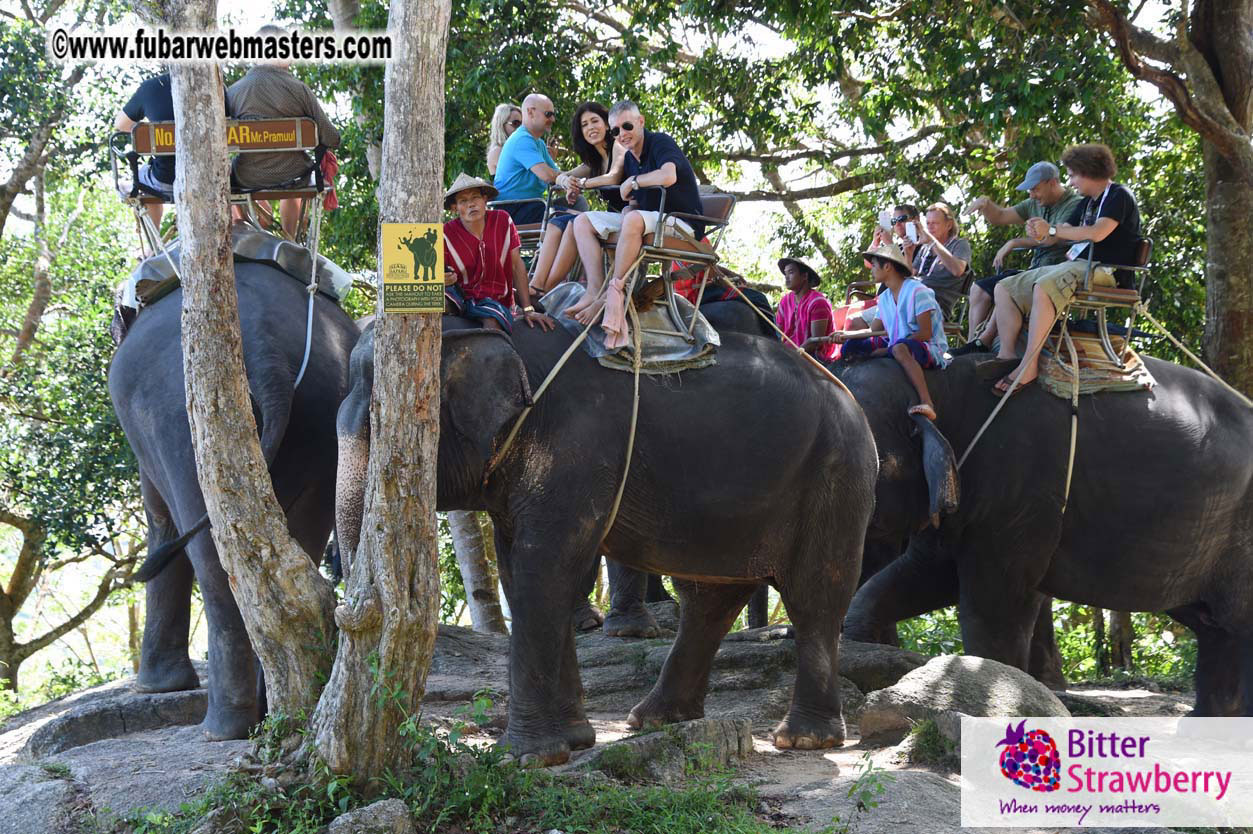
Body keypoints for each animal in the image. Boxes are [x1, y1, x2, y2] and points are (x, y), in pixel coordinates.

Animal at [109, 260, 358, 739]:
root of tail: (265, 349)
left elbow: (161, 524)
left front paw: (154, 689)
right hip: (324, 413)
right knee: (298, 547)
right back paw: (270, 709)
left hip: (181, 420)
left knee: (214, 562)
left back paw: (223, 727)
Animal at [335, 315, 879, 764]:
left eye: (382, 423)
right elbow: (522, 573)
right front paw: (575, 741)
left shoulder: (575, 451)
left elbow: (545, 569)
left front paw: (524, 758)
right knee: (711, 598)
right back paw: (654, 718)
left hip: (836, 478)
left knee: (815, 595)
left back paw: (803, 739)